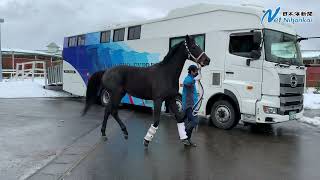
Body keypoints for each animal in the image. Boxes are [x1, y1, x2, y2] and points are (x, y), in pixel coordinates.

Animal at [82, 34, 211, 146]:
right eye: (193, 47)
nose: (207, 60)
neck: (166, 73)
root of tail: (106, 71)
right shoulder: (158, 100)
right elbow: (156, 121)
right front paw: (146, 140)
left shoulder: (170, 99)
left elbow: (179, 118)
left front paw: (185, 139)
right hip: (116, 94)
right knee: (111, 110)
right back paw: (118, 132)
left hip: (119, 94)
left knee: (109, 110)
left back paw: (111, 133)